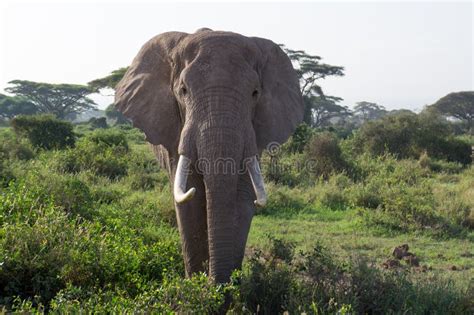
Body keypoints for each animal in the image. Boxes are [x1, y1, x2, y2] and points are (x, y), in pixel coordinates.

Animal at [115, 28, 304, 286]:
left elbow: (243, 196)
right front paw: (197, 286)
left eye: (255, 93)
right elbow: (190, 197)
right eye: (183, 90)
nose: (218, 283)